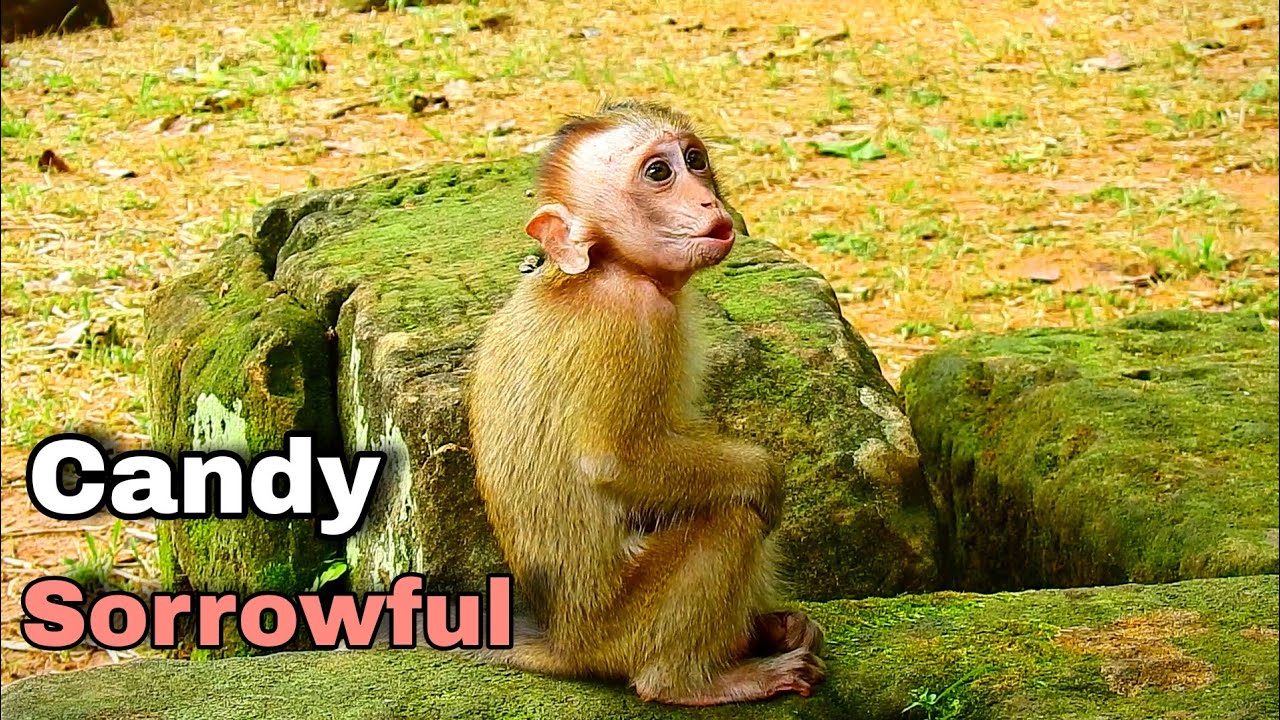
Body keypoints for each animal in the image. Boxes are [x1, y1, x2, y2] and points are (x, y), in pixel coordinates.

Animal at [467, 101, 825, 706]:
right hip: (623, 628)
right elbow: (614, 463)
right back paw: (690, 681)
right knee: (729, 520)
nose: (707, 200)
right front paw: (764, 476)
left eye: (695, 160)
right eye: (659, 173)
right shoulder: (631, 320)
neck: (604, 267)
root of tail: (565, 644)